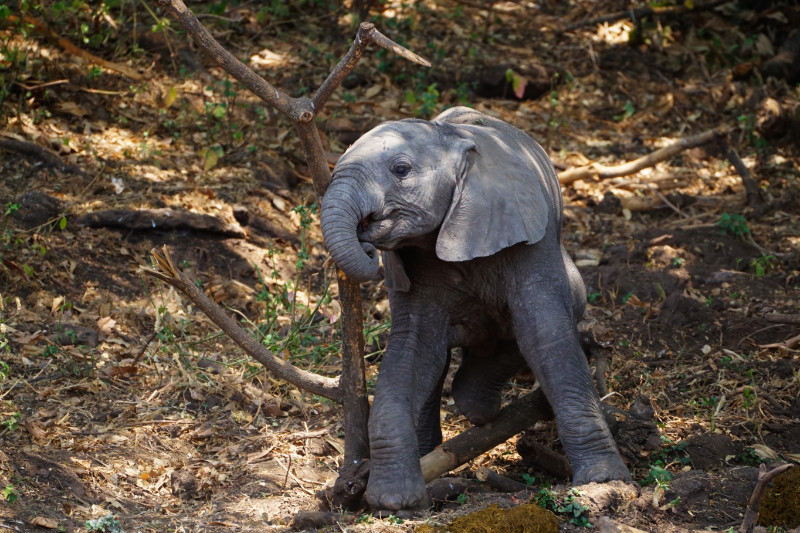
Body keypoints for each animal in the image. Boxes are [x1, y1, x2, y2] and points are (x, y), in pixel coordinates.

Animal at [319, 106, 630, 512]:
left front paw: (604, 479)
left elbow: (546, 336)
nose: (365, 241)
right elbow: (414, 351)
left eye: (401, 170)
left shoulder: (529, 237)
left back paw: (476, 409)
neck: (451, 139)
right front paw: (394, 500)